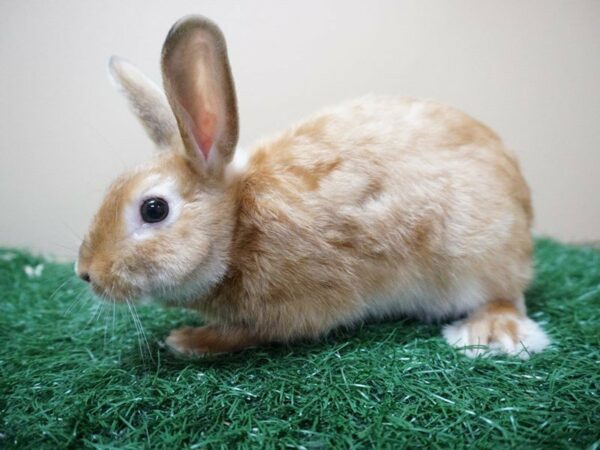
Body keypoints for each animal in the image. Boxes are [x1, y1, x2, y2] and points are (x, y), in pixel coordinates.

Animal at [77, 14, 552, 358]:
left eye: (154, 209)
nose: (86, 273)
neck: (237, 226)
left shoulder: (295, 308)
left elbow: (246, 335)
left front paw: (189, 341)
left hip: (478, 259)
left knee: (505, 296)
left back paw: (489, 333)